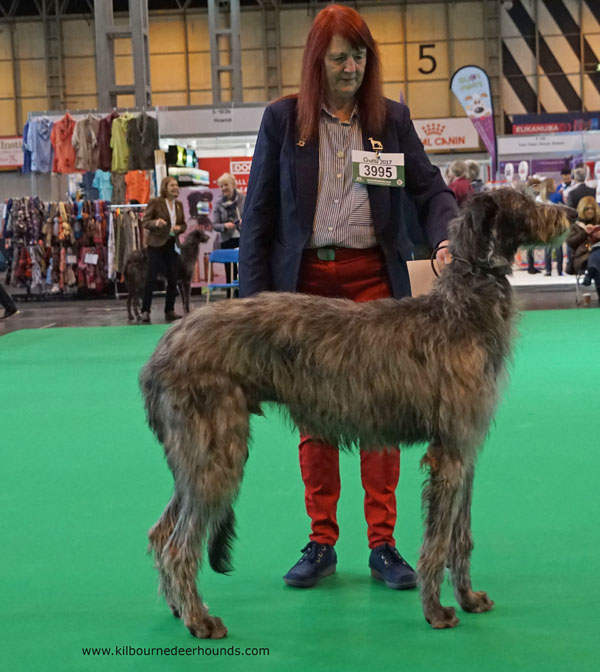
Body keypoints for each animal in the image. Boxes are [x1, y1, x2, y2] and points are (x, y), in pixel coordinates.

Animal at [139, 188, 568, 636]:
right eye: (524, 202)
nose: (570, 216)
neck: (460, 307)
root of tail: (162, 348)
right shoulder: (449, 453)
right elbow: (437, 542)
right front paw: (435, 611)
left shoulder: (465, 449)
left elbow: (460, 536)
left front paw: (468, 598)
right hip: (217, 452)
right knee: (179, 545)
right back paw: (200, 618)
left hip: (195, 456)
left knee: (160, 531)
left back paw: (178, 607)